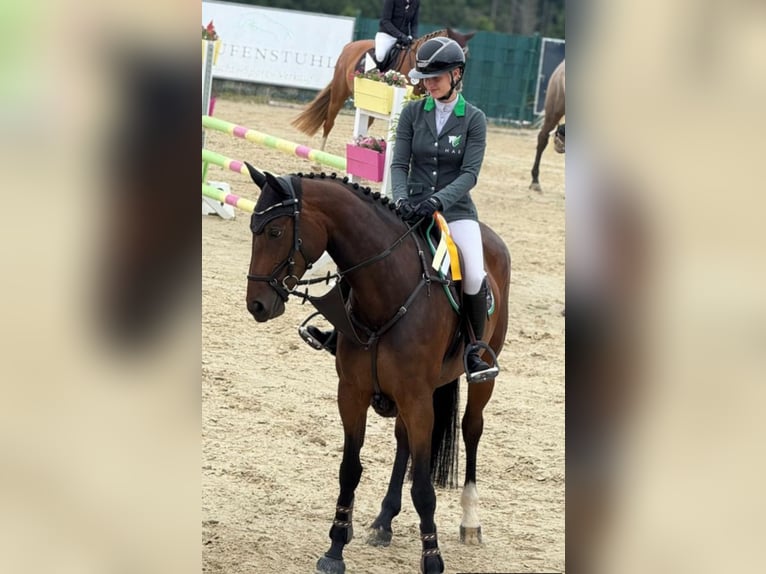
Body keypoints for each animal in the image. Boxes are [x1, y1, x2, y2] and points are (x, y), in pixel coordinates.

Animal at [244, 167, 510, 574]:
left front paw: (432, 559)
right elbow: (350, 469)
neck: (386, 291)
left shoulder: (417, 399)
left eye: (274, 232)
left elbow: (423, 487)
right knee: (403, 441)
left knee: (471, 429)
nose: (256, 305)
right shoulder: (353, 393)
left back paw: (469, 522)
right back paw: (384, 520)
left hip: (477, 379)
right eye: (253, 229)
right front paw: (336, 546)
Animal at [291, 29, 475, 154]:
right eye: (446, 56)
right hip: (339, 92)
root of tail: (350, 46)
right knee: (329, 122)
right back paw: (318, 160)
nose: (458, 86)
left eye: (466, 55)